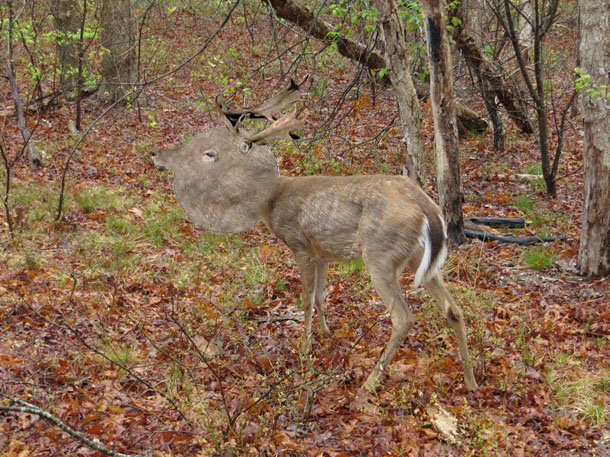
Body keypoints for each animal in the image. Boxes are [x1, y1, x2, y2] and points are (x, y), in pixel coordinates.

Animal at [151, 79, 476, 392]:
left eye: (209, 153)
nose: (156, 153)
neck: (269, 201)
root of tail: (427, 207)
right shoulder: (322, 253)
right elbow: (321, 296)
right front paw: (325, 333)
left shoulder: (300, 246)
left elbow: (306, 299)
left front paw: (304, 346)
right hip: (418, 258)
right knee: (454, 309)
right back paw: (471, 380)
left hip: (381, 254)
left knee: (403, 317)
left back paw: (371, 382)